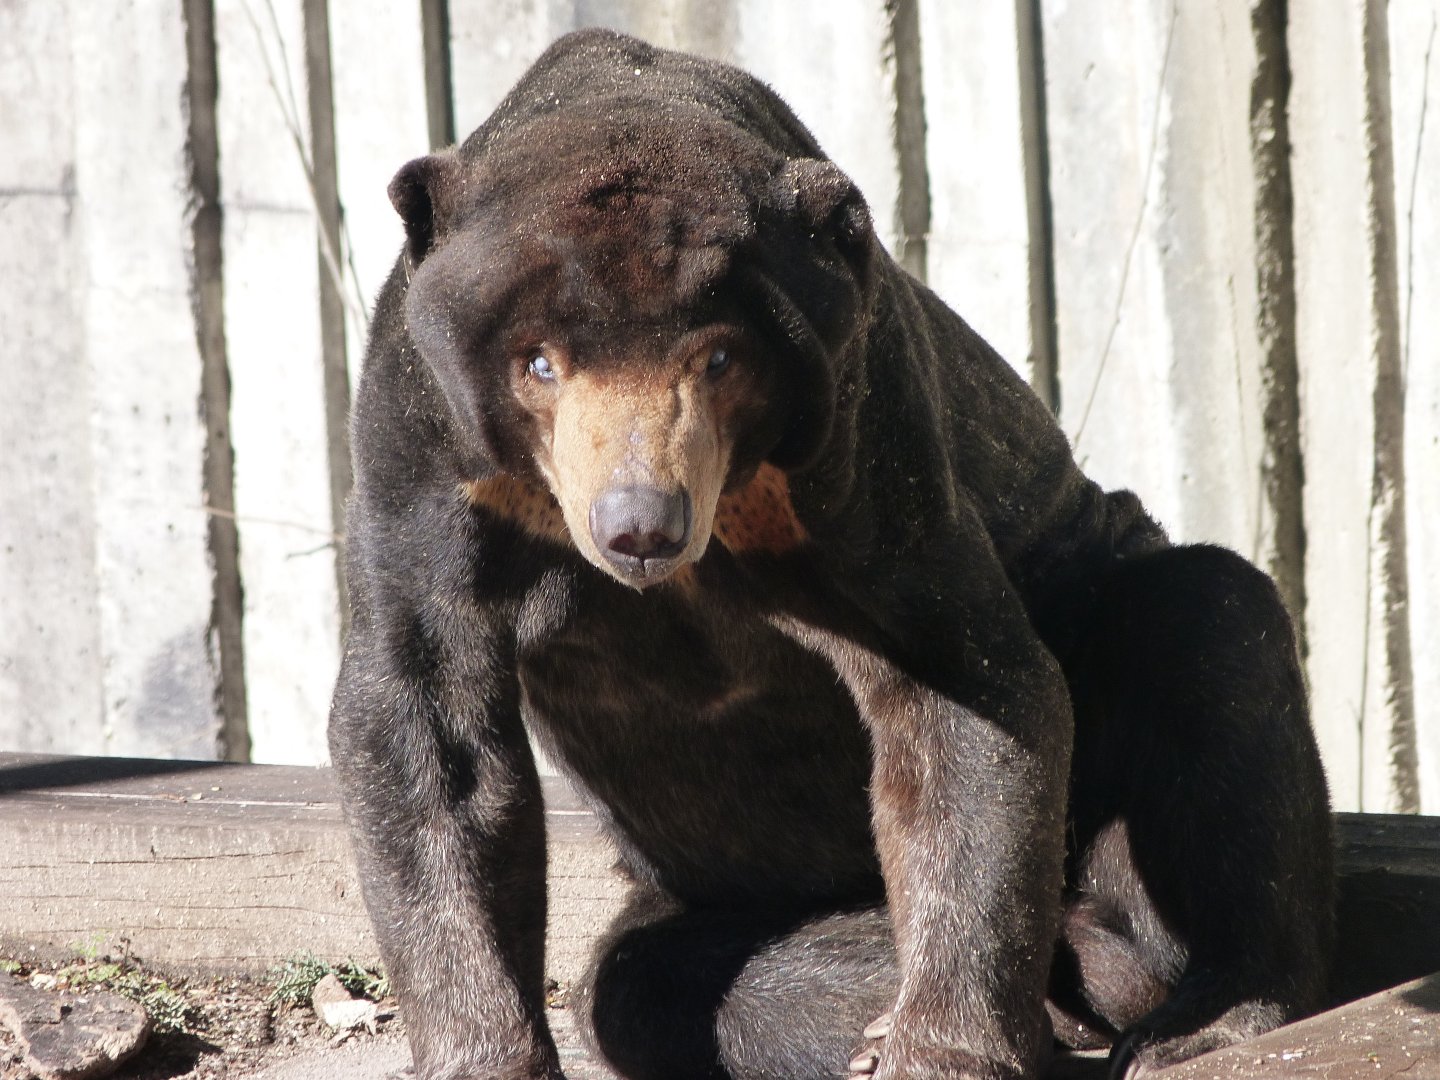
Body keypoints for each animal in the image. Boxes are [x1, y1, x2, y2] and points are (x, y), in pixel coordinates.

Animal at [329, 27, 1334, 1080]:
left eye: (719, 359)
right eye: (538, 363)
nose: (641, 524)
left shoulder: (864, 439)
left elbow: (961, 691)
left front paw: (942, 1049)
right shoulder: (423, 454)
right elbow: (428, 734)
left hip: (1096, 591)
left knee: (1212, 640)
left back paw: (1191, 1013)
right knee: (643, 980)